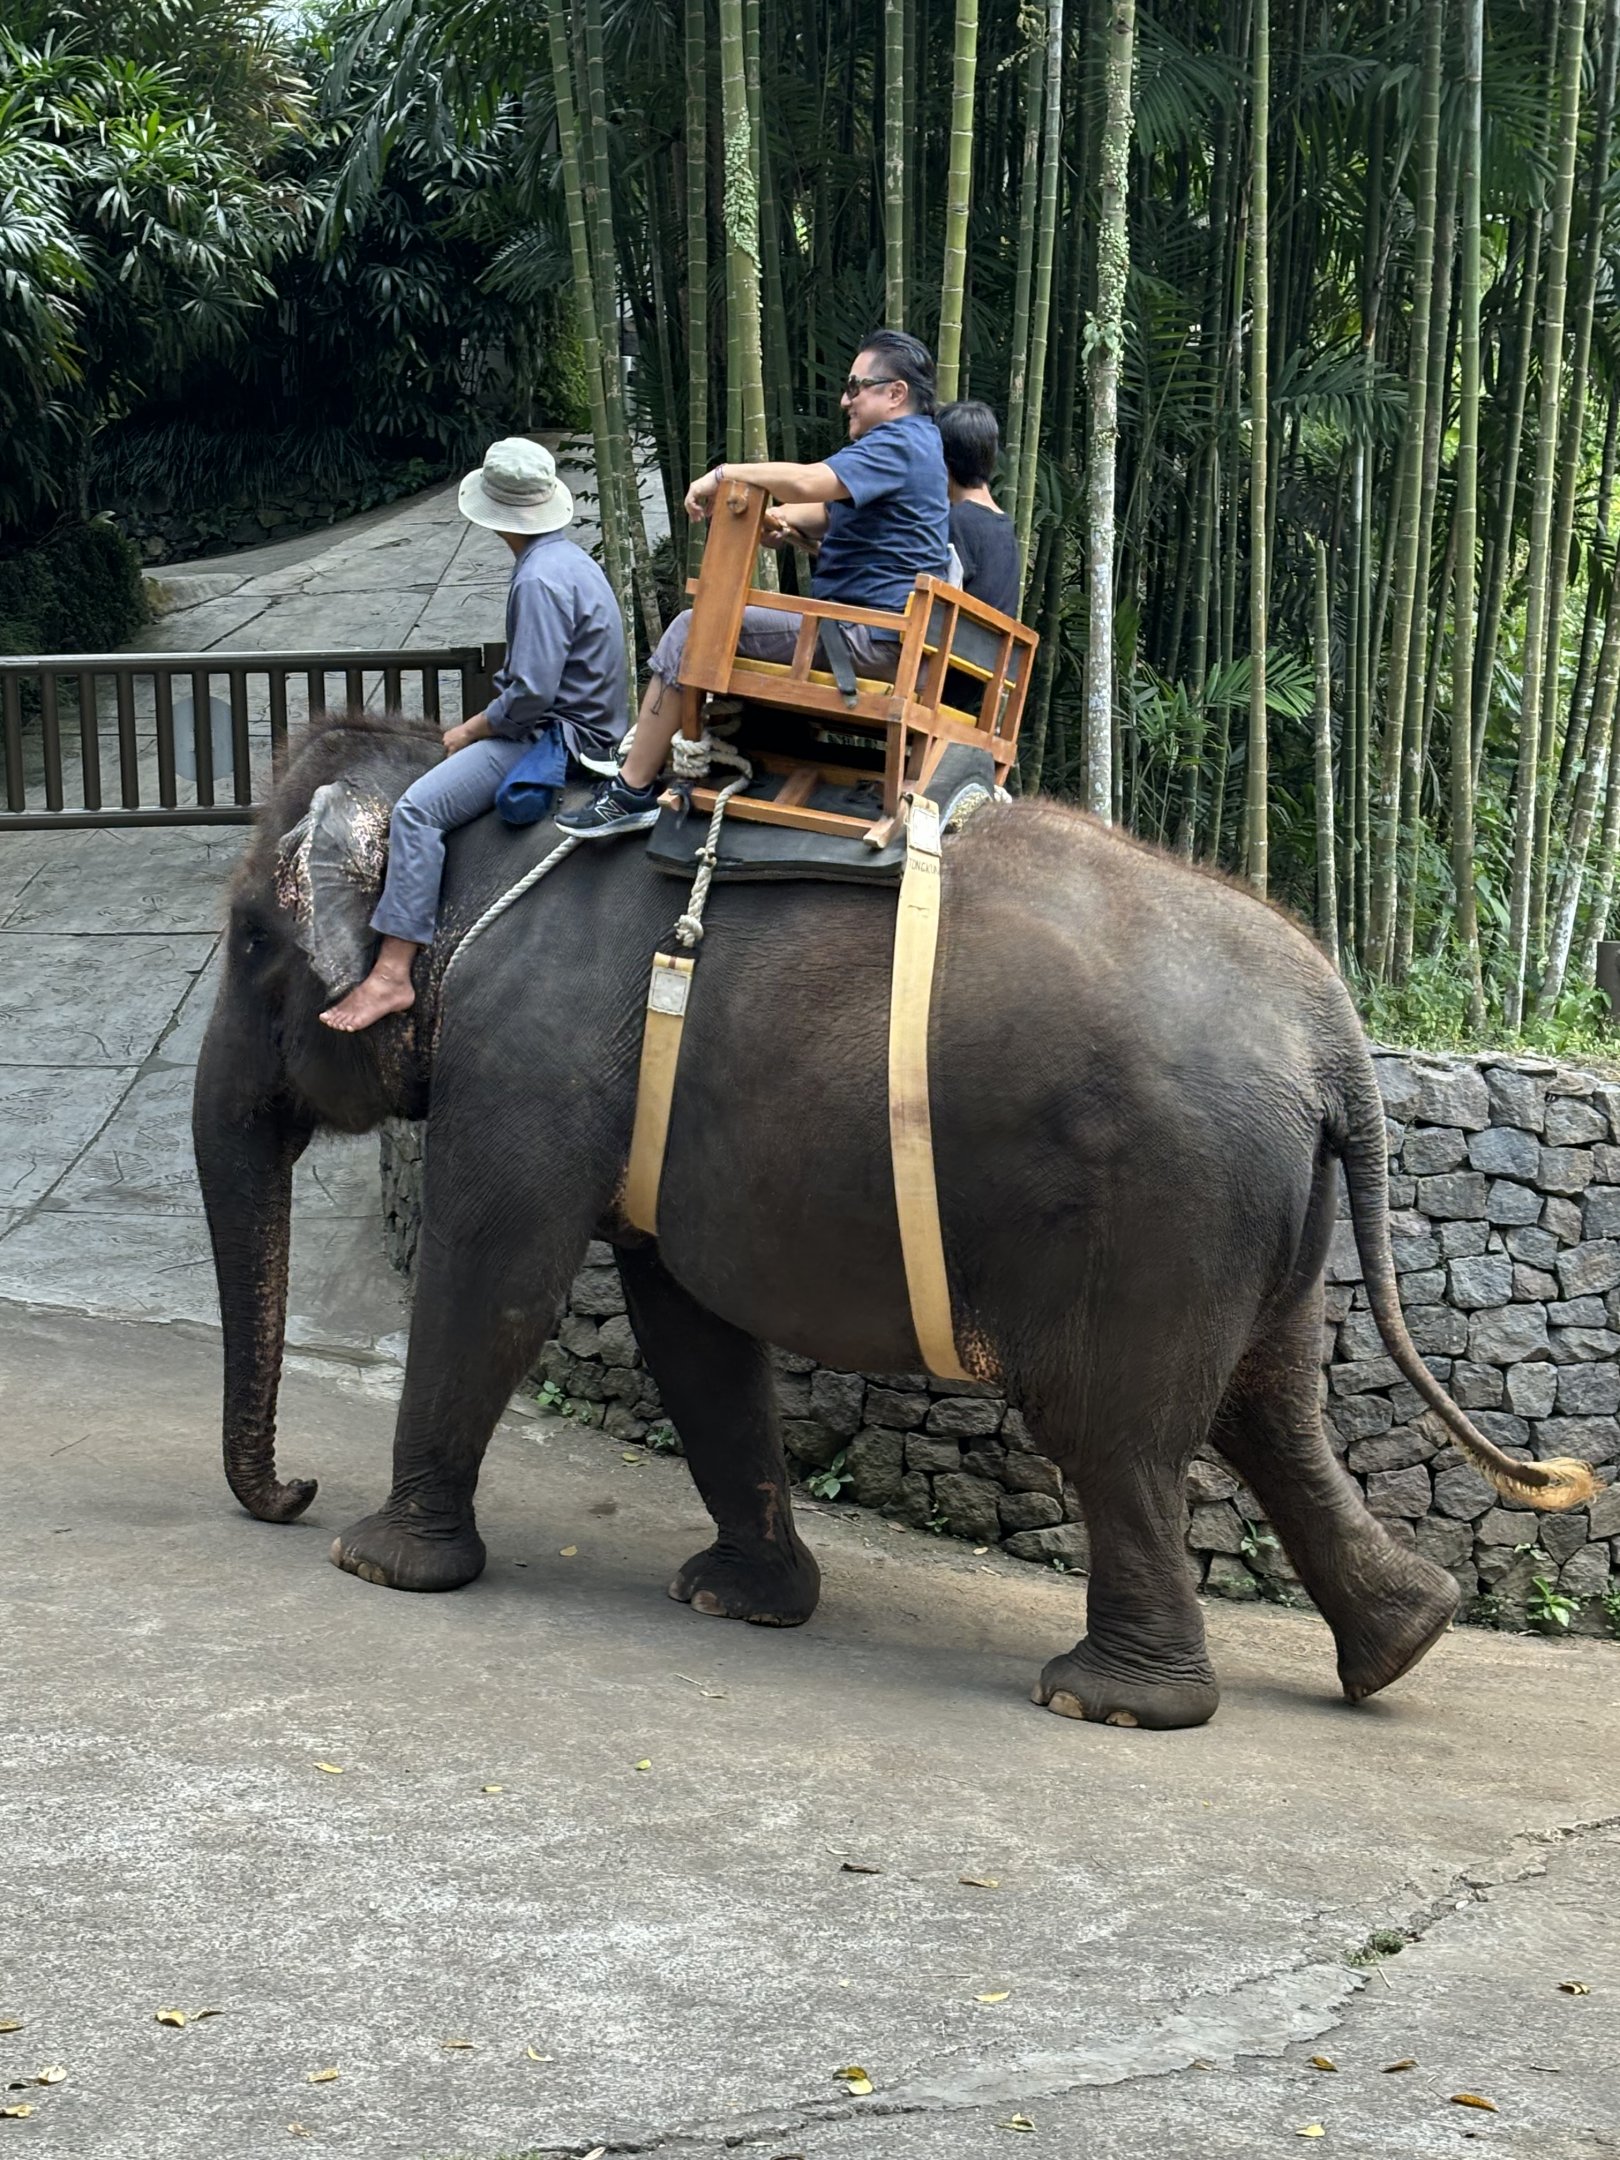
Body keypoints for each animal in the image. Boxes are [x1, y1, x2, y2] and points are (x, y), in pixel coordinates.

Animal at [192, 712, 1595, 1732]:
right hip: (1266, 1213)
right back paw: (1403, 1642)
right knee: (1273, 1408)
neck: (484, 815)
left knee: (1115, 1430)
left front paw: (376, 1565)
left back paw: (1109, 1701)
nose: (294, 1492)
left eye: (250, 942)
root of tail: (1333, 1031)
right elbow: (686, 1322)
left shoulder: (526, 1059)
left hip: (1159, 1206)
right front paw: (740, 1603)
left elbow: (500, 1274)